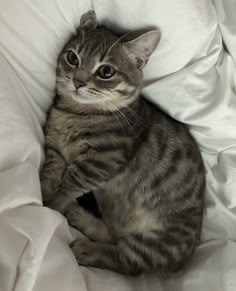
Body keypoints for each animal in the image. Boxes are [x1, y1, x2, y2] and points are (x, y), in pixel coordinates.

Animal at [40, 10, 205, 278]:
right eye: (72, 58)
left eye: (106, 71)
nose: (77, 81)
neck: (76, 114)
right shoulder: (54, 147)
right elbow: (51, 173)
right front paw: (43, 192)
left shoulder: (100, 162)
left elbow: (68, 186)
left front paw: (51, 206)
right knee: (112, 235)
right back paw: (78, 215)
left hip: (156, 242)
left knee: (126, 259)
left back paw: (85, 248)